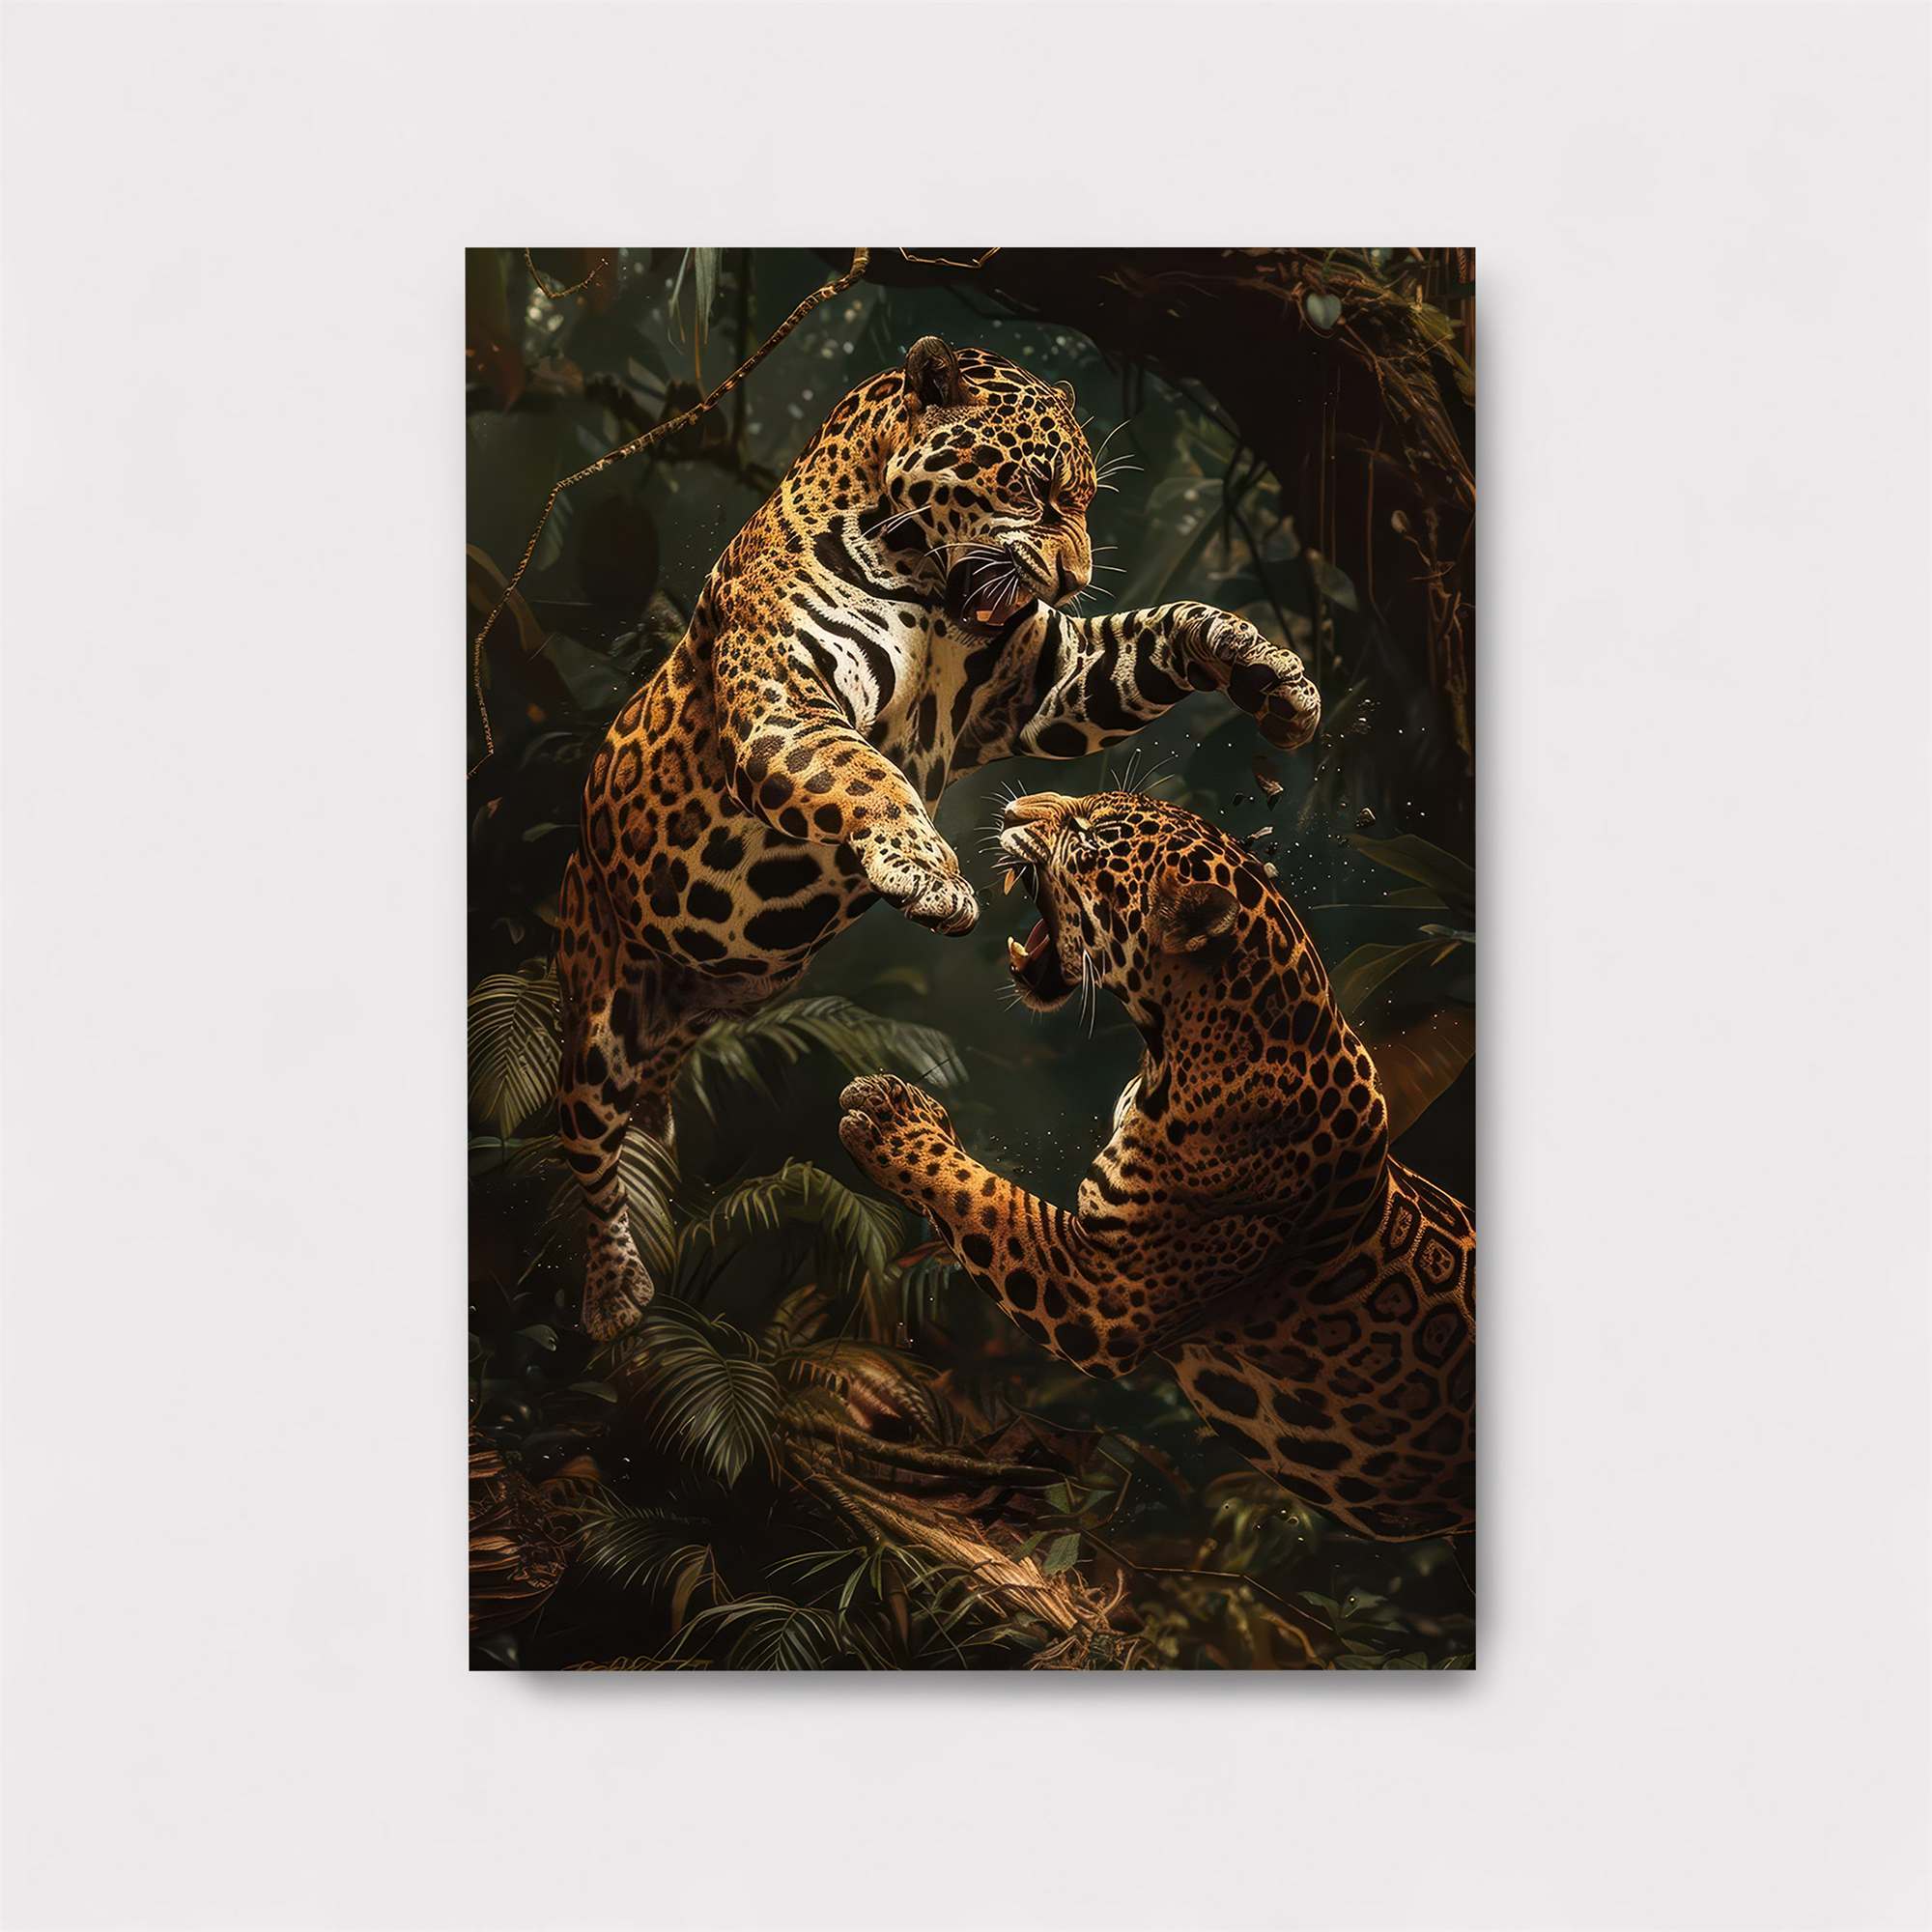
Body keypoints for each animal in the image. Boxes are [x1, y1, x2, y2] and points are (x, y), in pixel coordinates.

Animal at [556, 336, 1322, 1341]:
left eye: (1086, 500)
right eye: (1036, 490)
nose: (1075, 578)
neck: (925, 585)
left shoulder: (1054, 685)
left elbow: (1163, 629)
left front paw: (1272, 672)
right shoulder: (785, 705)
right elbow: (864, 773)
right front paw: (927, 872)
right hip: (598, 1013)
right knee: (586, 1148)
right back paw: (611, 1291)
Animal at [837, 788, 1475, 1540]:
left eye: (1095, 838)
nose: (1015, 807)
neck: (1172, 1051)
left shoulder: (1105, 1292)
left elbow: (987, 1198)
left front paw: (891, 1119)